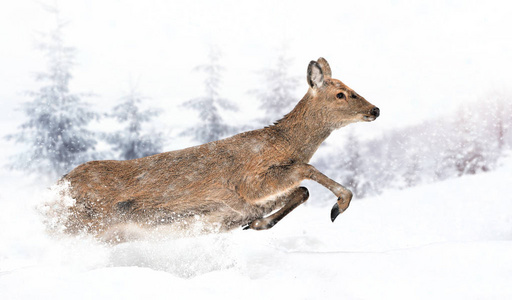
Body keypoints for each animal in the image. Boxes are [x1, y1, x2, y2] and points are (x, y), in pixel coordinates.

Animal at [56, 57, 378, 240]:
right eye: (341, 94)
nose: (375, 109)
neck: (281, 143)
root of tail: (59, 184)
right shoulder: (248, 181)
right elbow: (306, 170)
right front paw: (340, 204)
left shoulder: (252, 200)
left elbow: (302, 190)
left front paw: (257, 225)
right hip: (86, 220)